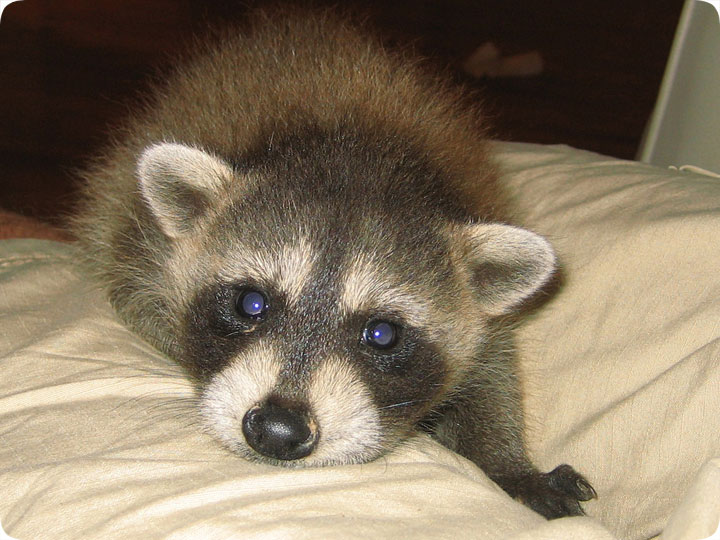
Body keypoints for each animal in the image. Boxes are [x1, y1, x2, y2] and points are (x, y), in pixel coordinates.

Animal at [70, 5, 592, 520]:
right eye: (250, 303)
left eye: (382, 334)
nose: (277, 430)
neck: (359, 150)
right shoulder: (139, 245)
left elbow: (491, 374)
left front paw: (506, 462)